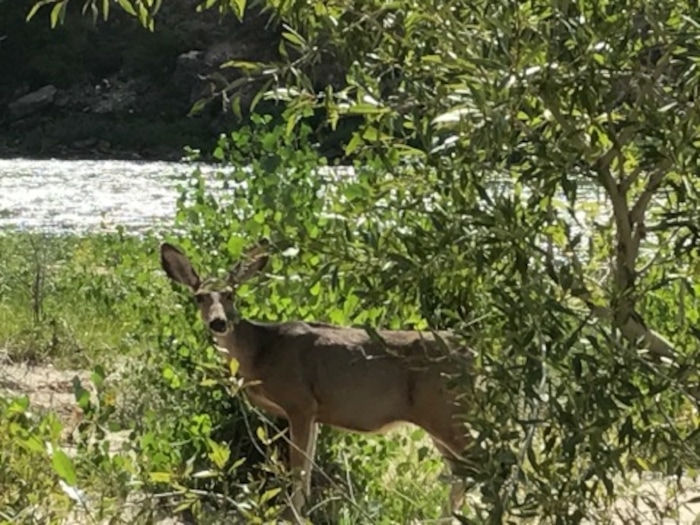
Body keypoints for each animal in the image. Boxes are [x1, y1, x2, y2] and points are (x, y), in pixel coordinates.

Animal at [160, 242, 473, 523]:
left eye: (230, 295)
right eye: (199, 297)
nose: (219, 323)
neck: (260, 354)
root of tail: (473, 354)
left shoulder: (299, 401)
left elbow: (298, 472)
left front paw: (291, 516)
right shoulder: (315, 414)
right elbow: (308, 469)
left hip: (447, 411)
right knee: (461, 475)